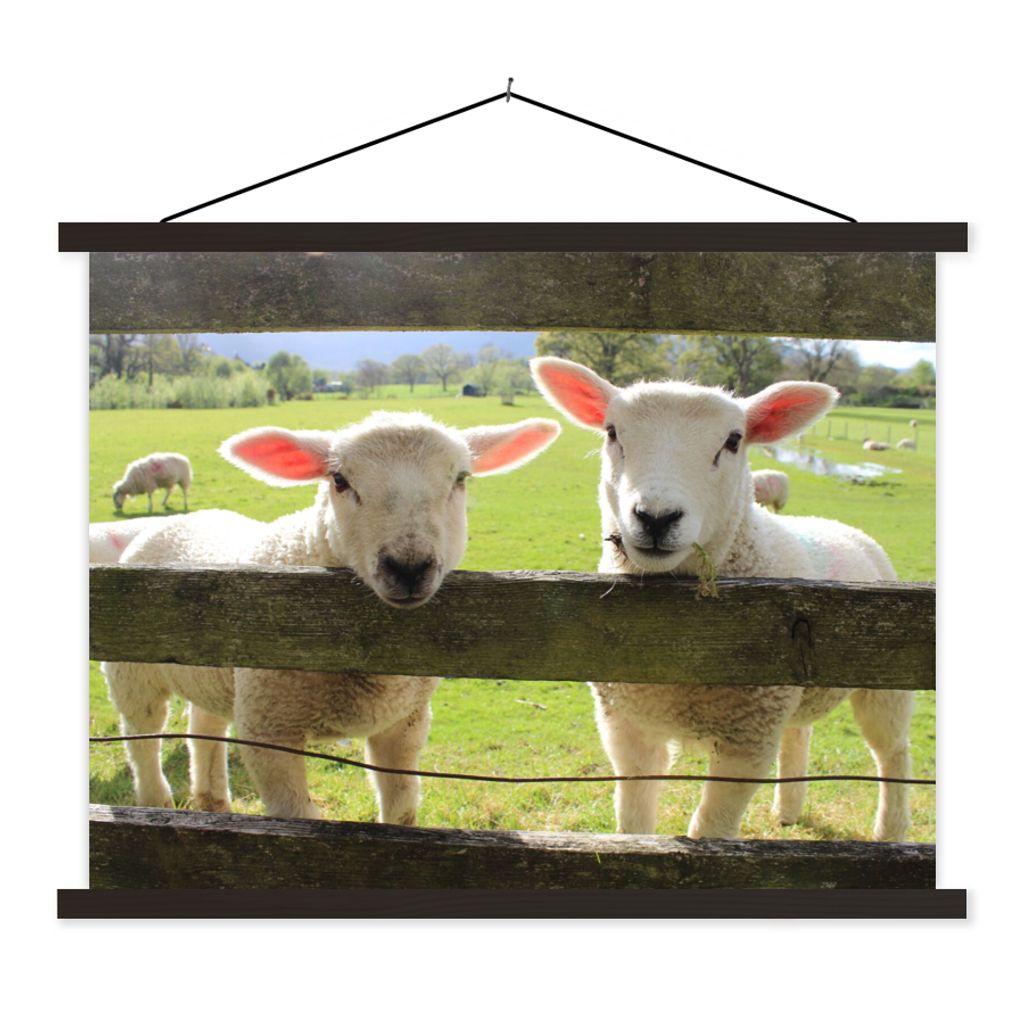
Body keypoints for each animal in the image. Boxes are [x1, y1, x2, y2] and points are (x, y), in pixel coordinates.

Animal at [101, 412, 559, 824]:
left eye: (461, 478)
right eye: (340, 481)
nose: (409, 567)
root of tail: (176, 521)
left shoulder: (405, 722)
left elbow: (403, 811)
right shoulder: (269, 730)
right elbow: (299, 818)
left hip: (213, 676)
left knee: (204, 724)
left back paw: (213, 803)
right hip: (132, 672)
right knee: (142, 736)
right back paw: (156, 802)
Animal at [531, 357, 913, 841]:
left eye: (733, 441)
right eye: (612, 432)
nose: (656, 518)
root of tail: (842, 527)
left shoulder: (747, 740)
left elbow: (710, 829)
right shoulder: (626, 726)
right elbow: (634, 819)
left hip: (886, 682)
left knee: (892, 751)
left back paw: (891, 832)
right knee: (799, 733)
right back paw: (788, 811)